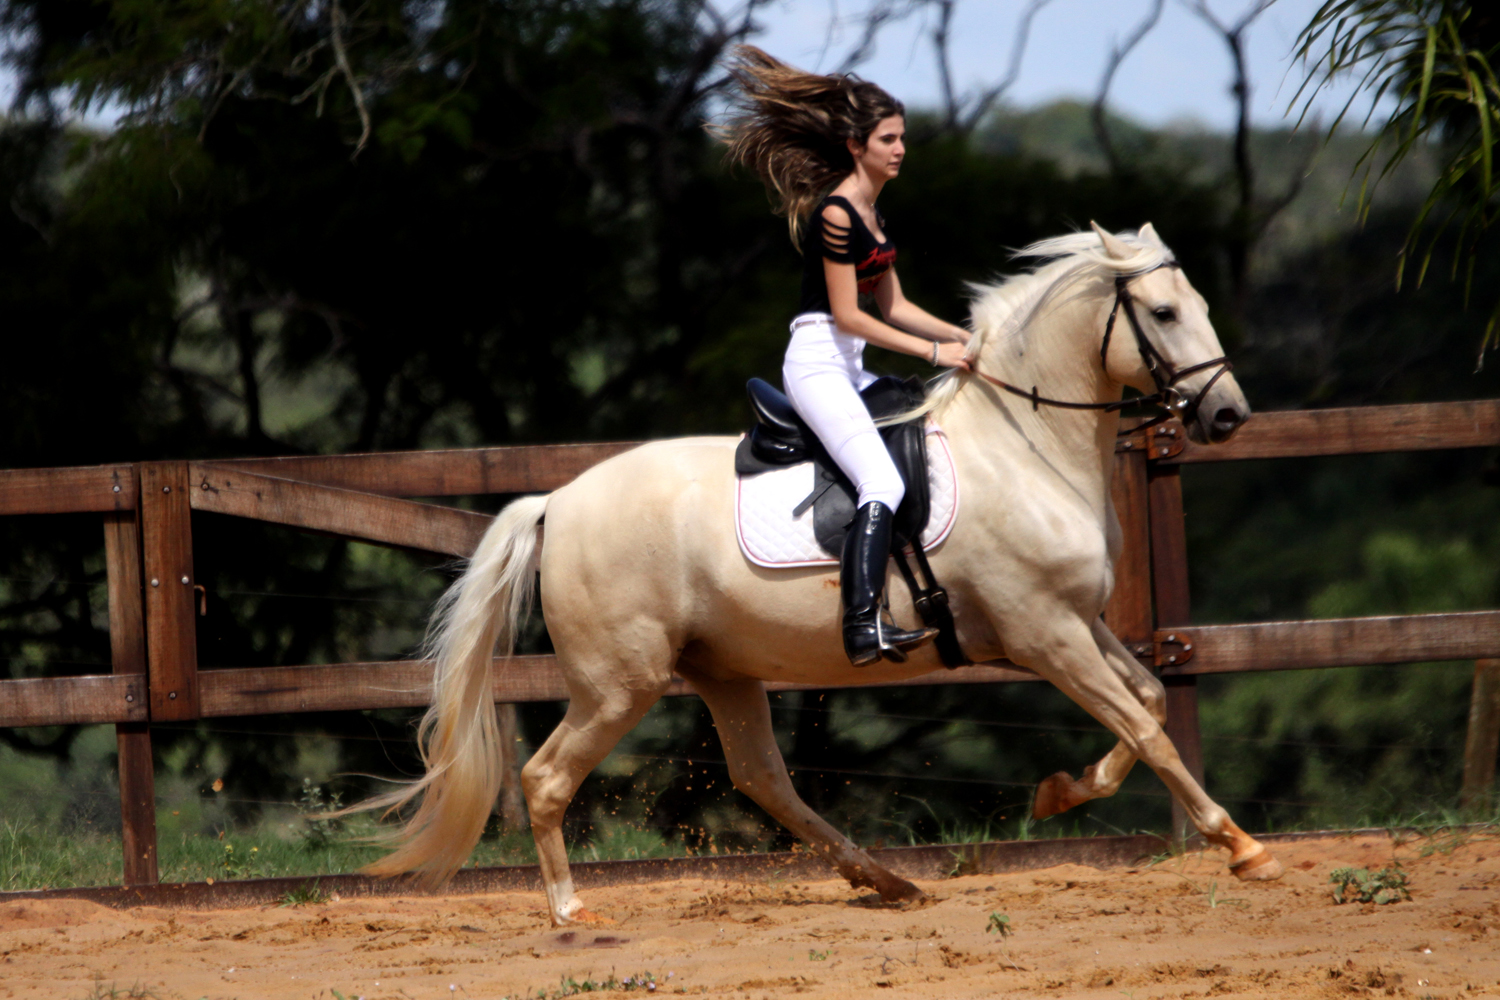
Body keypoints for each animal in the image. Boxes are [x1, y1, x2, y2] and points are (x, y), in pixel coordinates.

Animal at [359, 222, 1283, 926]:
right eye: (1162, 312)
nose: (1228, 414)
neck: (1026, 448)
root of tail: (557, 500)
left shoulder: (1079, 624)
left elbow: (1149, 703)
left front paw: (1060, 793)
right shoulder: (1047, 636)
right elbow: (1150, 729)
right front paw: (1240, 846)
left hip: (722, 672)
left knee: (762, 779)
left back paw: (887, 881)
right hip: (620, 684)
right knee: (549, 780)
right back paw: (568, 910)